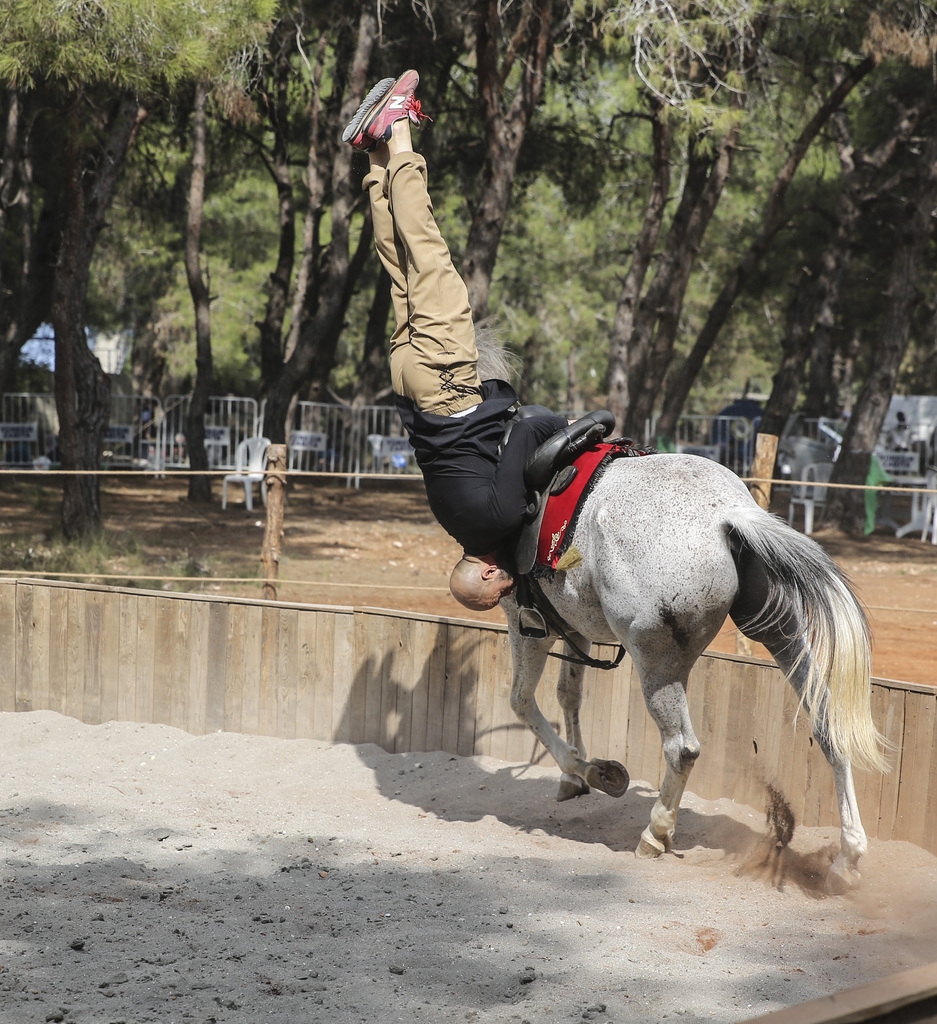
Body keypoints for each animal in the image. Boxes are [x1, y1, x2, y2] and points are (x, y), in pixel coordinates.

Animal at [505, 452, 884, 892]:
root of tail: (726, 512)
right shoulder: (574, 626)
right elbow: (569, 692)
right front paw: (578, 775)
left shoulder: (527, 621)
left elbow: (522, 701)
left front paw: (588, 769)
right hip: (780, 631)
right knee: (827, 726)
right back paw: (847, 859)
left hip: (657, 665)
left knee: (682, 748)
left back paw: (655, 833)